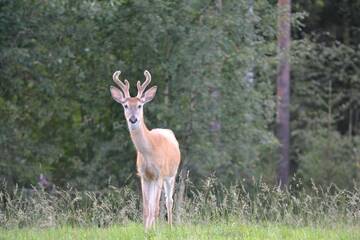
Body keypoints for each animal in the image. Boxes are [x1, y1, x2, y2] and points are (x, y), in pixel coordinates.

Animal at [109, 70, 181, 230]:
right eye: (125, 105)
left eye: (140, 105)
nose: (133, 119)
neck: (150, 151)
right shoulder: (143, 175)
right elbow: (147, 208)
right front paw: (146, 230)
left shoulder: (160, 173)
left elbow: (156, 207)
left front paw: (155, 230)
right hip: (154, 179)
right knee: (155, 204)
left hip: (171, 174)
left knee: (169, 201)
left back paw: (170, 226)